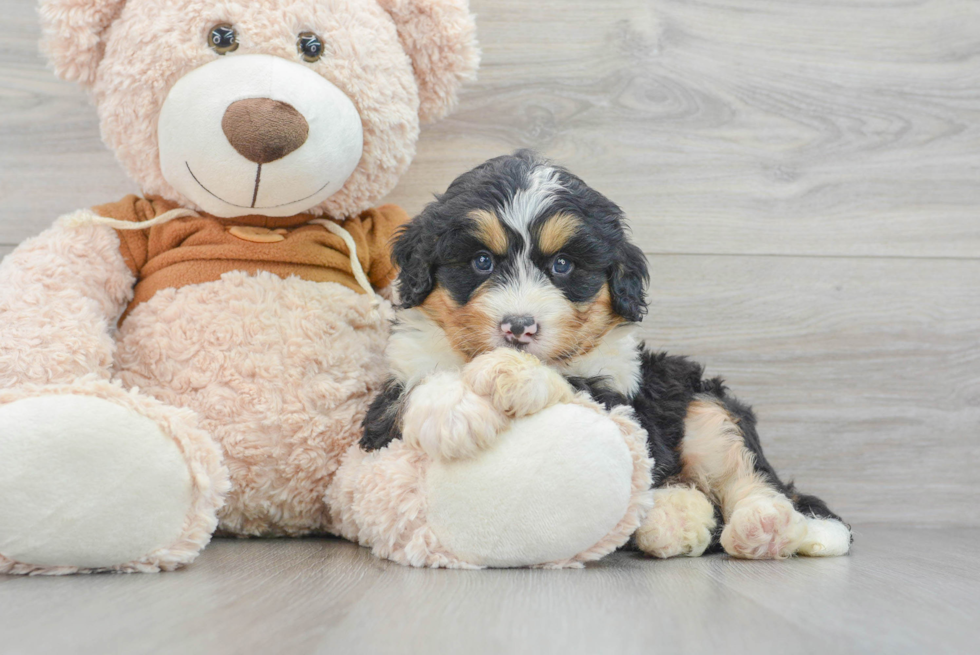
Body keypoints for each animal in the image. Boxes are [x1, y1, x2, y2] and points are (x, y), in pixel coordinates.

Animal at [360, 150, 848, 564]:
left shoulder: (626, 397)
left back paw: (780, 528)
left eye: (562, 265)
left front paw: (511, 374)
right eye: (481, 261)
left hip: (702, 405)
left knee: (749, 473)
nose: (518, 327)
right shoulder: (390, 399)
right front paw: (454, 410)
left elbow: (579, 384)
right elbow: (414, 390)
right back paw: (677, 517)